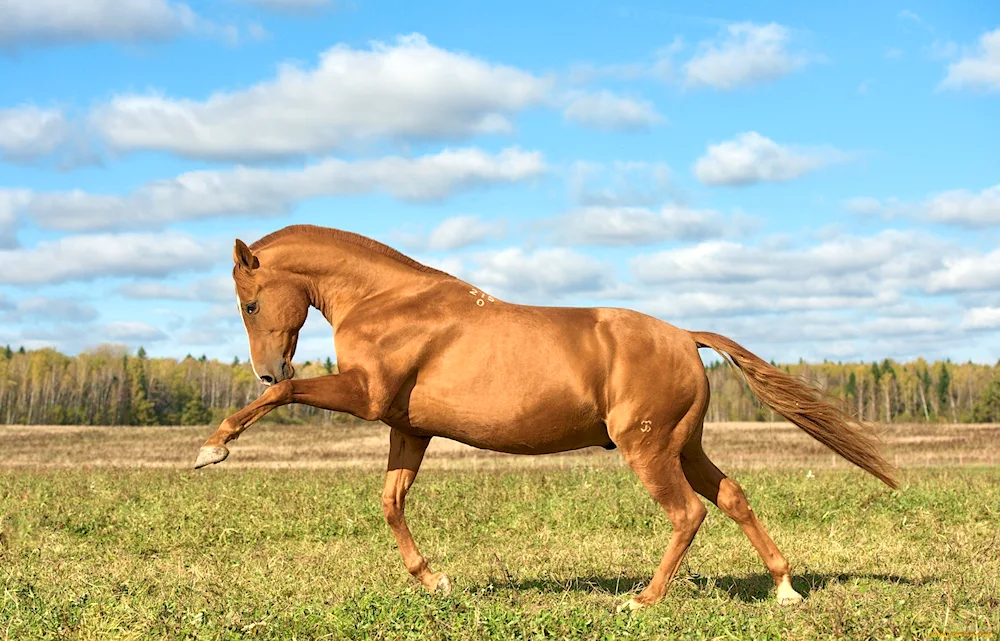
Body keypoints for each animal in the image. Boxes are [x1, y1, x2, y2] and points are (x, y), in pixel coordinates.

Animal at [195, 225, 900, 608]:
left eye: (250, 303)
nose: (267, 368)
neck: (389, 302)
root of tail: (685, 337)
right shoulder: (407, 427)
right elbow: (392, 503)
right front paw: (435, 580)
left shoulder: (364, 397)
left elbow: (285, 402)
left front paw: (212, 448)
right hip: (685, 446)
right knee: (731, 497)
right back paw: (784, 588)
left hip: (648, 450)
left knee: (688, 513)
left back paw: (643, 599)